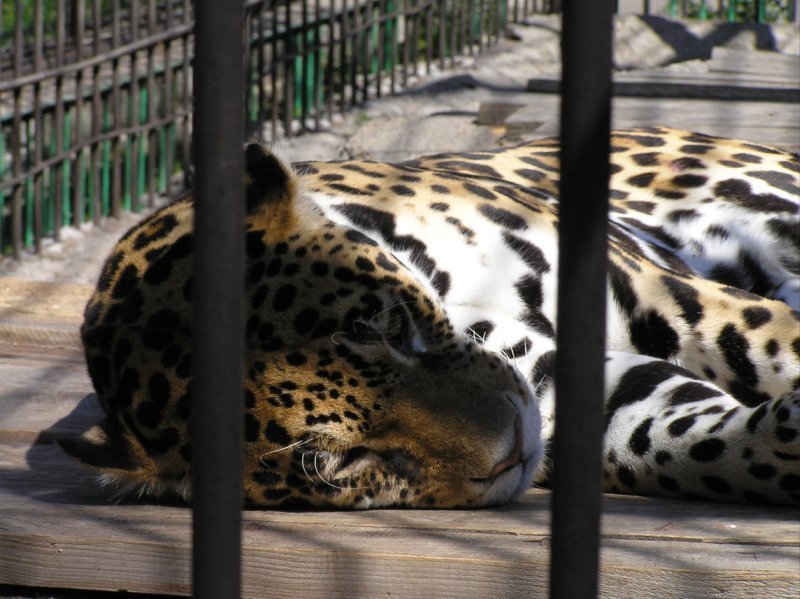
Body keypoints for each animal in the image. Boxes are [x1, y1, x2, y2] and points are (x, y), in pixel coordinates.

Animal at [59, 126, 800, 510]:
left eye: (390, 326)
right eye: (348, 461)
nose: (515, 448)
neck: (445, 282)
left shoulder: (658, 294)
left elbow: (756, 342)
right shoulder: (553, 378)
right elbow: (688, 441)